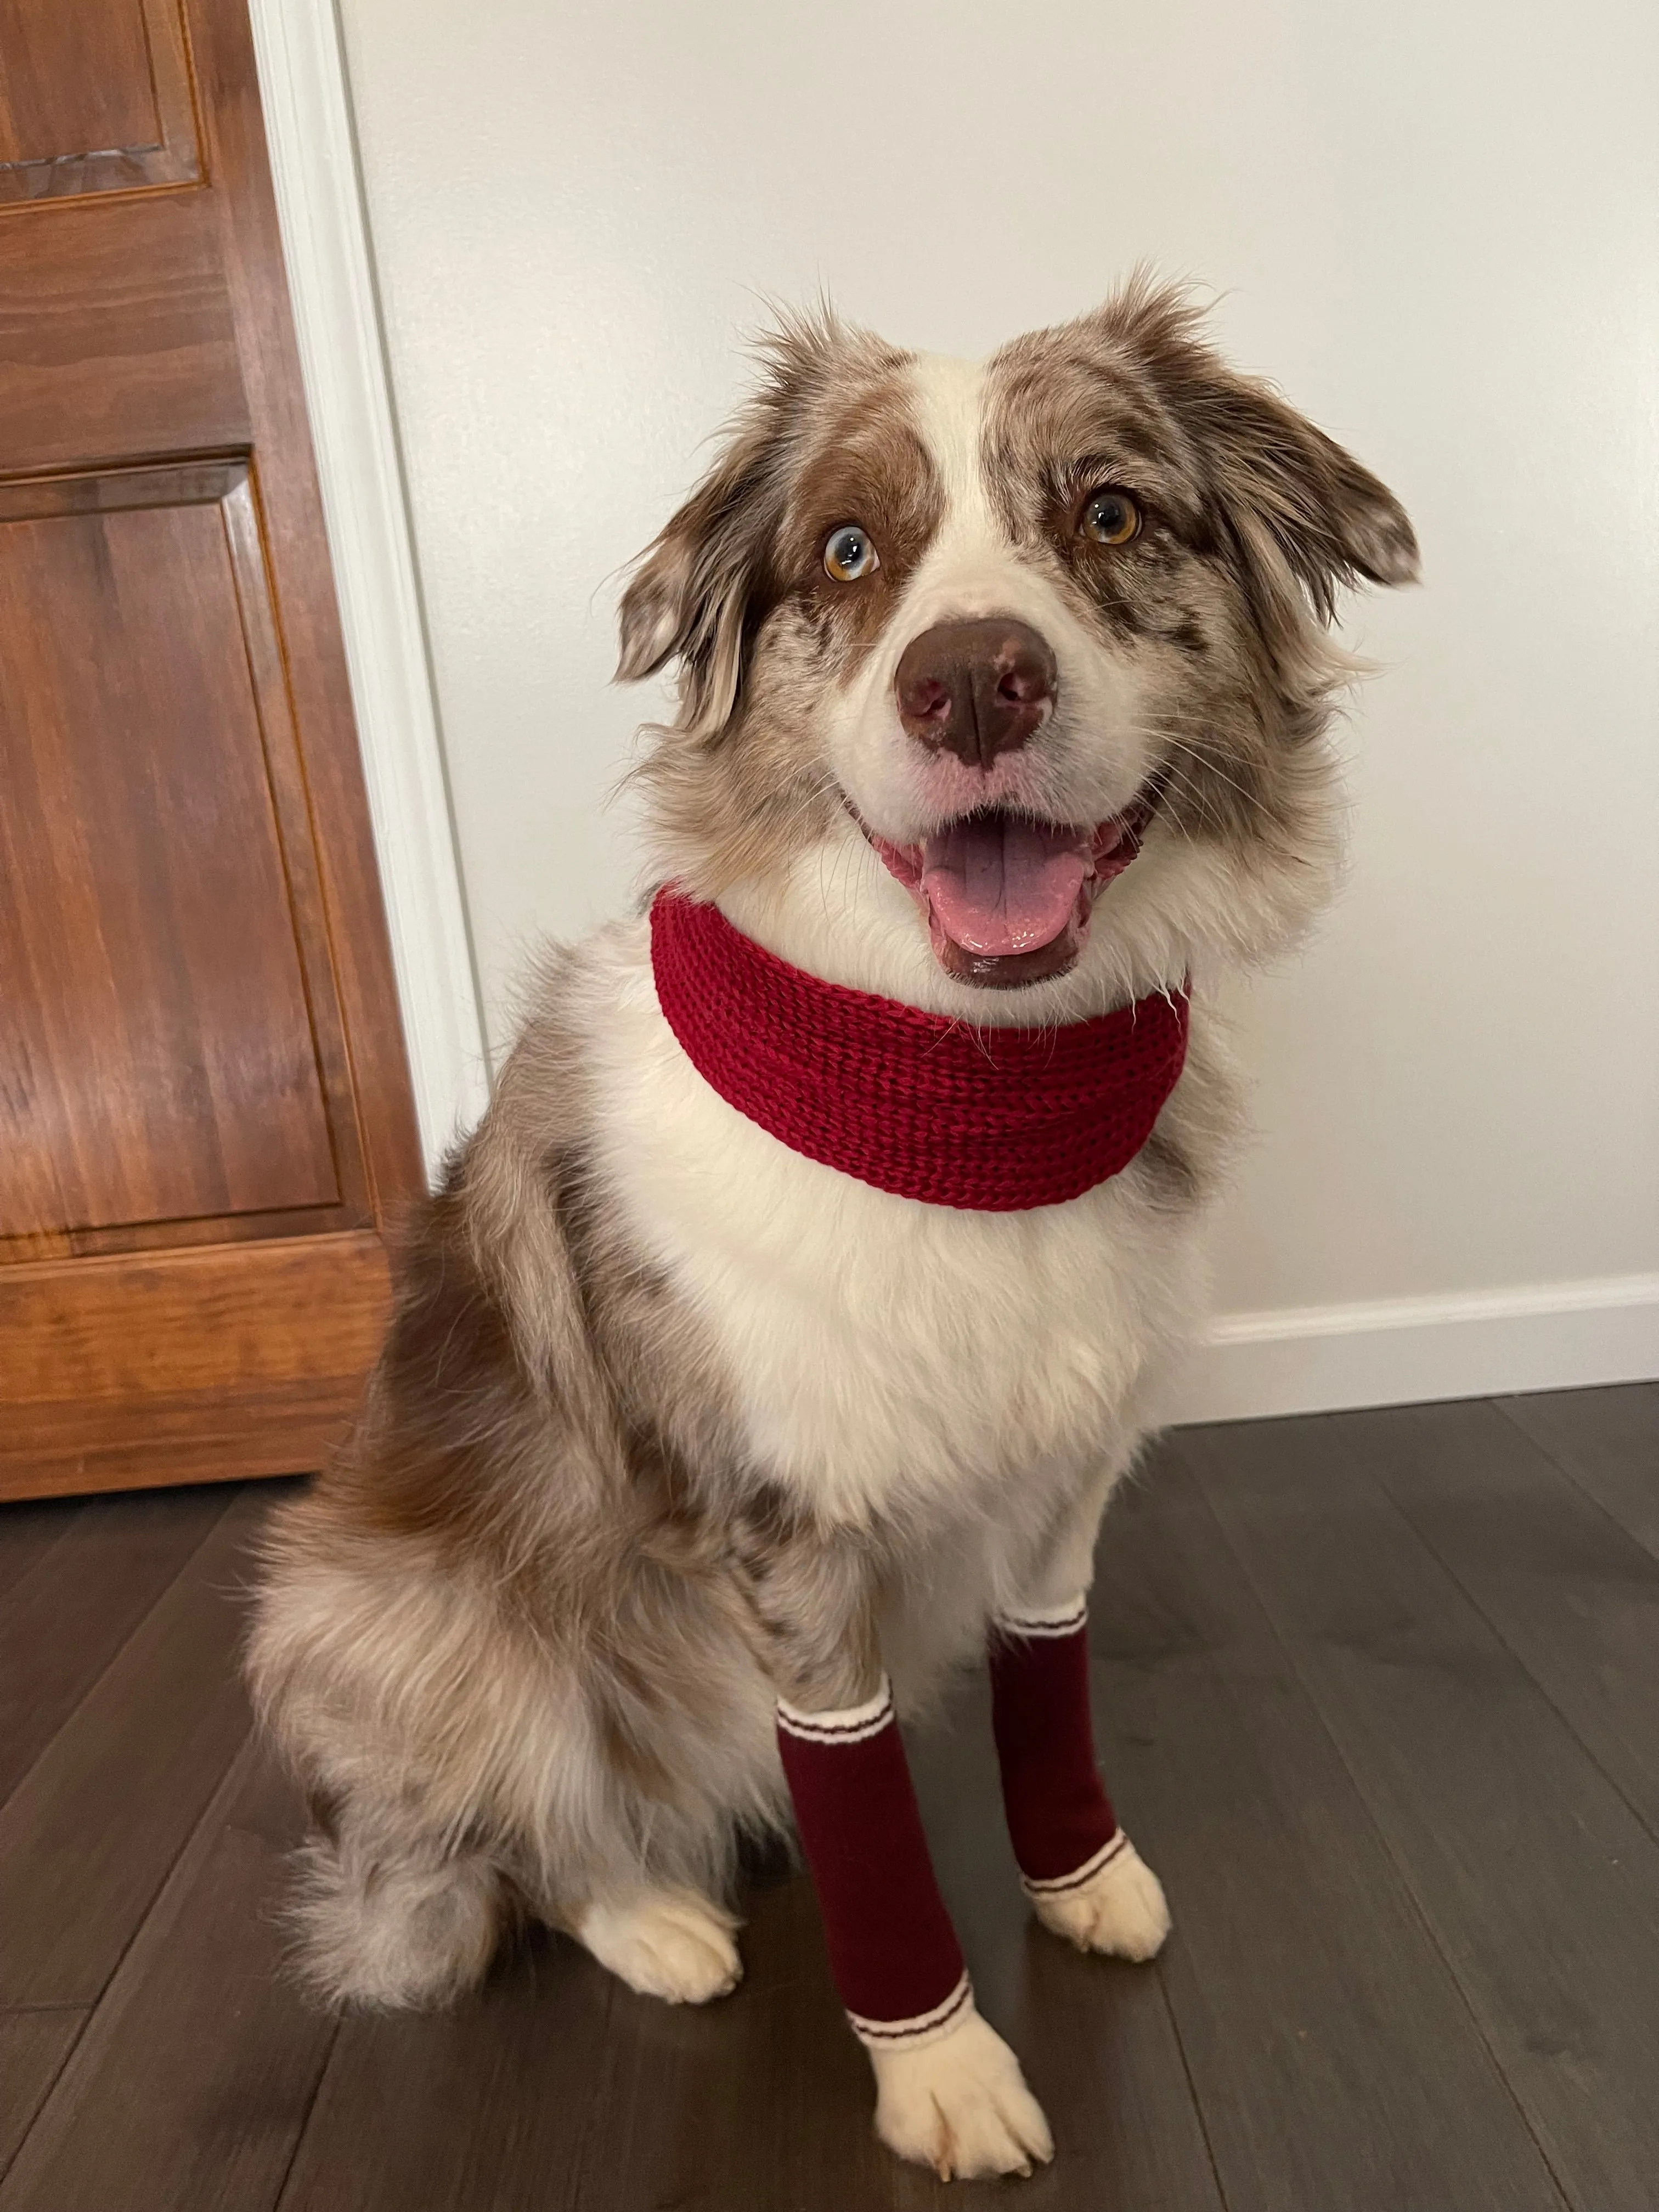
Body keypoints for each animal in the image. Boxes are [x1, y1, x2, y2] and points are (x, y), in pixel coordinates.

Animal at [246, 272, 1415, 2176]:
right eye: (852, 550)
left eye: (1109, 514)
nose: (974, 682)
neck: (968, 1099)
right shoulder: (784, 1531)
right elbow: (855, 1794)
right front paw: (939, 2069)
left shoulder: (1066, 1478)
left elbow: (1045, 1683)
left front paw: (1081, 1878)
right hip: (383, 1621)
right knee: (502, 1845)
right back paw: (654, 1919)